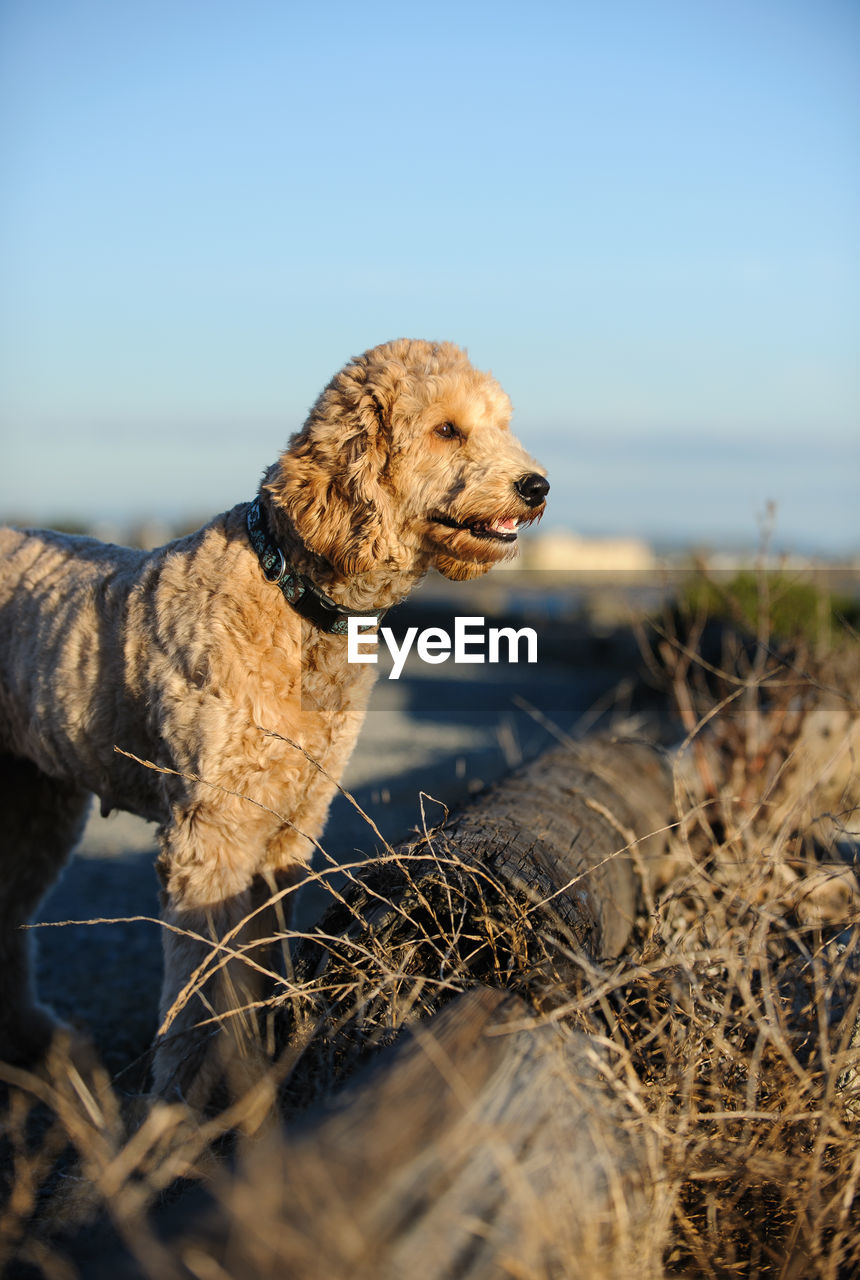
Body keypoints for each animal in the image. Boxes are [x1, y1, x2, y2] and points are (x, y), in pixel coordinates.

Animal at [0, 340, 547, 1100]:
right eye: (447, 430)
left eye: (502, 425)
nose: (537, 486)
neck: (291, 593)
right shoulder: (212, 829)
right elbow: (201, 982)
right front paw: (188, 1096)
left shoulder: (290, 823)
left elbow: (258, 961)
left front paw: (255, 1067)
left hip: (34, 801)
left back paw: (32, 1042)